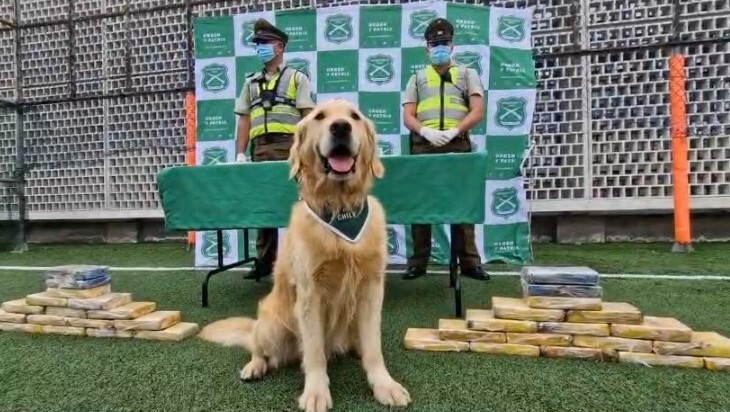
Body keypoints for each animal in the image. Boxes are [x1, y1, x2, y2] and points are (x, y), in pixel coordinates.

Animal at [198, 98, 410, 410]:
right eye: (320, 117)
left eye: (355, 117)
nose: (340, 127)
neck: (340, 209)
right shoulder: (311, 294)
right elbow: (314, 353)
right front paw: (316, 392)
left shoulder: (372, 289)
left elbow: (374, 348)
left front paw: (385, 385)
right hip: (270, 324)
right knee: (259, 348)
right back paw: (254, 366)